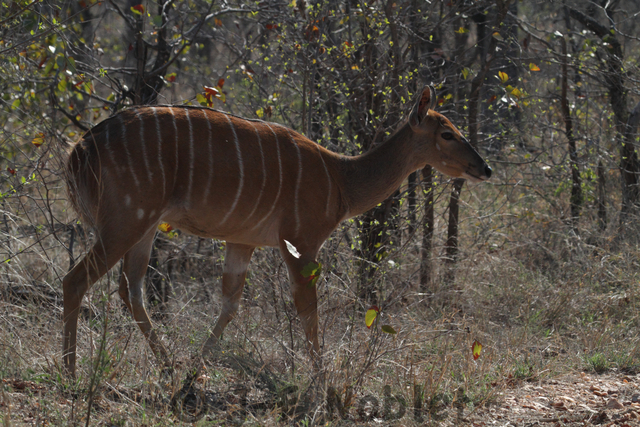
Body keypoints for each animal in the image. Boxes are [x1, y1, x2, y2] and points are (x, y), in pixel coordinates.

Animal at [62, 86, 491, 377]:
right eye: (447, 133)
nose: (484, 168)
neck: (341, 179)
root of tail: (81, 147)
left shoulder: (242, 240)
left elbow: (230, 304)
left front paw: (195, 367)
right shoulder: (300, 241)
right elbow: (307, 310)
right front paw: (321, 380)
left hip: (146, 224)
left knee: (130, 288)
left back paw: (167, 365)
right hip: (127, 219)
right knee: (76, 279)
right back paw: (71, 372)